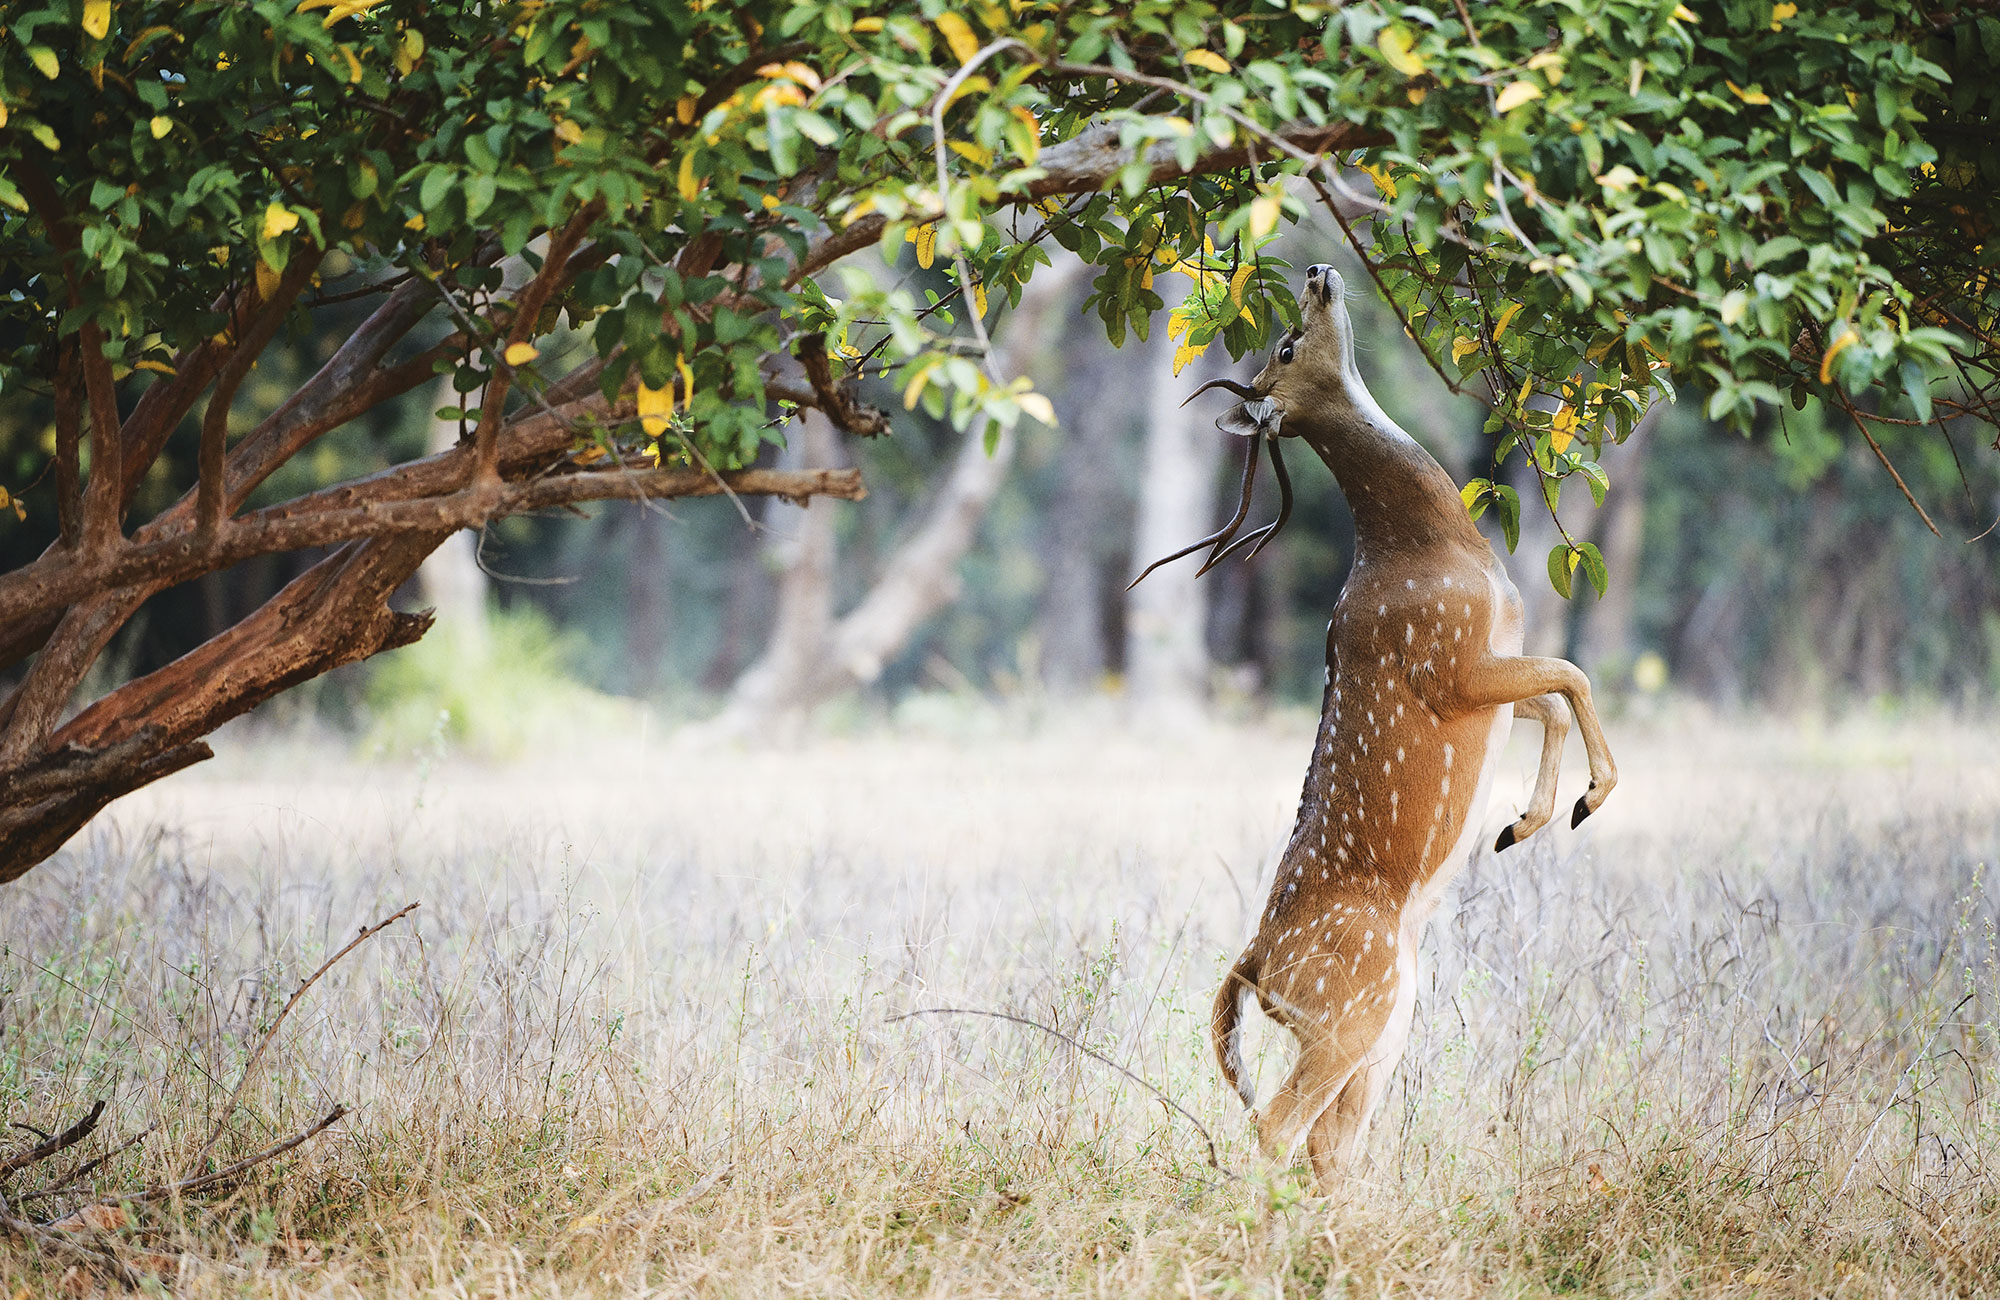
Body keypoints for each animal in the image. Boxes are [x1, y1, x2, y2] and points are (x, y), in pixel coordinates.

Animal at [1136, 260, 1616, 1184]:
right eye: (1287, 344)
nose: (1319, 272)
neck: (1436, 550)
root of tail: (1254, 966)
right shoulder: (1451, 662)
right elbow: (1573, 674)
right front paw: (1585, 802)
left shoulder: (1492, 664)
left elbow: (1551, 696)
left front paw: (1524, 822)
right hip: (1352, 1007)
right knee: (1277, 1124)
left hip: (1385, 1022)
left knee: (1331, 1141)